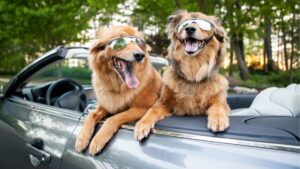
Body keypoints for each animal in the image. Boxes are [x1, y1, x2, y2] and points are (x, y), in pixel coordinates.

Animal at [76, 24, 163, 155]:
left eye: (139, 43)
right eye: (119, 42)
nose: (140, 55)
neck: (118, 86)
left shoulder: (143, 108)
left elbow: (113, 118)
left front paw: (97, 141)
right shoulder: (106, 105)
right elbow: (90, 115)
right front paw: (81, 139)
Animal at [135, 9, 231, 141]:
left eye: (203, 23)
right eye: (184, 24)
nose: (189, 29)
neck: (193, 74)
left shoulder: (220, 101)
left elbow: (219, 106)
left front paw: (218, 119)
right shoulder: (164, 103)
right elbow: (151, 110)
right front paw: (142, 124)